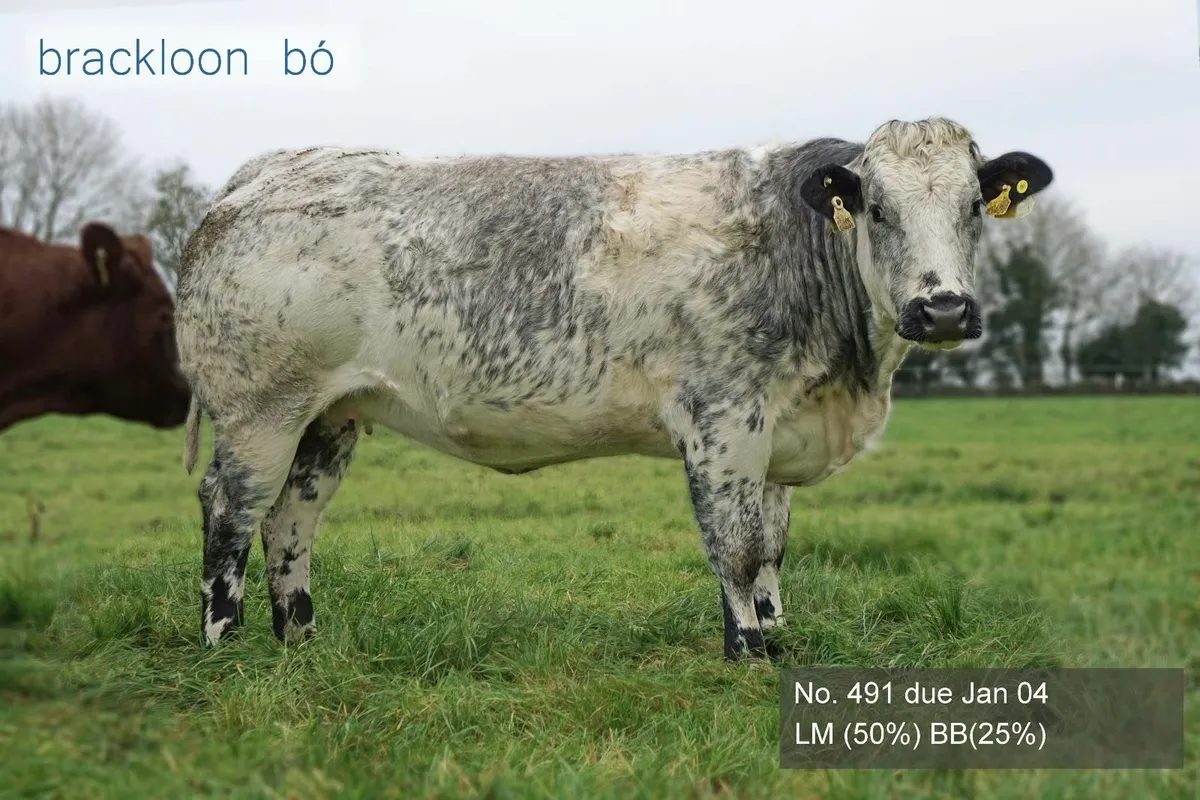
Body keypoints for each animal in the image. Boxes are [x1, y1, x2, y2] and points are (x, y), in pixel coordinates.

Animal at [175, 117, 1052, 661]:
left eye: (975, 206)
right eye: (875, 208)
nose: (943, 307)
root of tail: (267, 170)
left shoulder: (779, 431)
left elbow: (771, 548)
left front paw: (777, 636)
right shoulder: (724, 420)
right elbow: (735, 549)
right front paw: (749, 654)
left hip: (328, 417)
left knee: (291, 520)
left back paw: (300, 642)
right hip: (258, 409)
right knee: (231, 510)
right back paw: (223, 644)